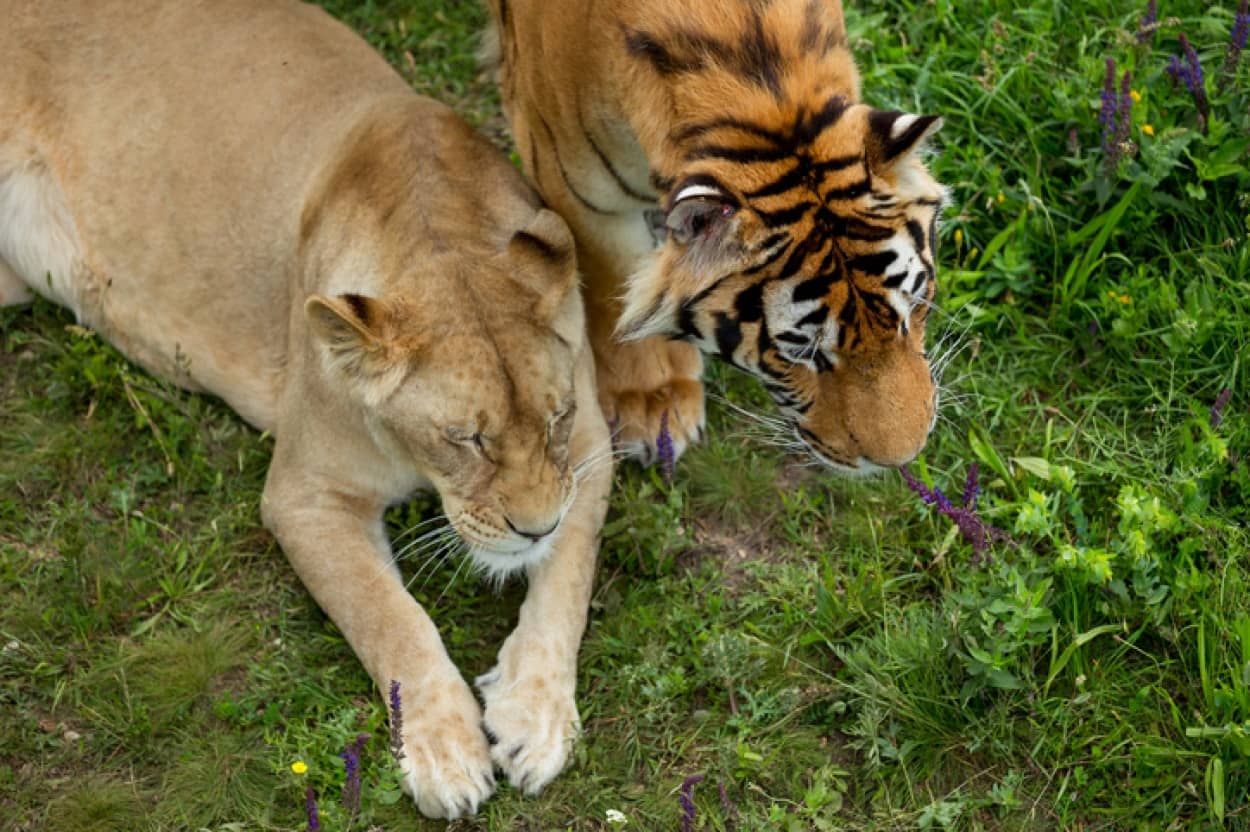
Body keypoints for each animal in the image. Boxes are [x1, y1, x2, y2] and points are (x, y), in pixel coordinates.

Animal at [1, 0, 615, 814]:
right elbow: (387, 615)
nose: (532, 527)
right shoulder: (306, 495)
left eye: (556, 418)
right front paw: (444, 750)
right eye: (464, 438)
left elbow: (569, 576)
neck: (439, 229)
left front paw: (535, 718)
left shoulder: (592, 451)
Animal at [482, 0, 940, 469]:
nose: (903, 459)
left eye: (916, 306)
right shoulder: (576, 189)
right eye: (800, 353)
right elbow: (612, 286)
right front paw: (650, 400)